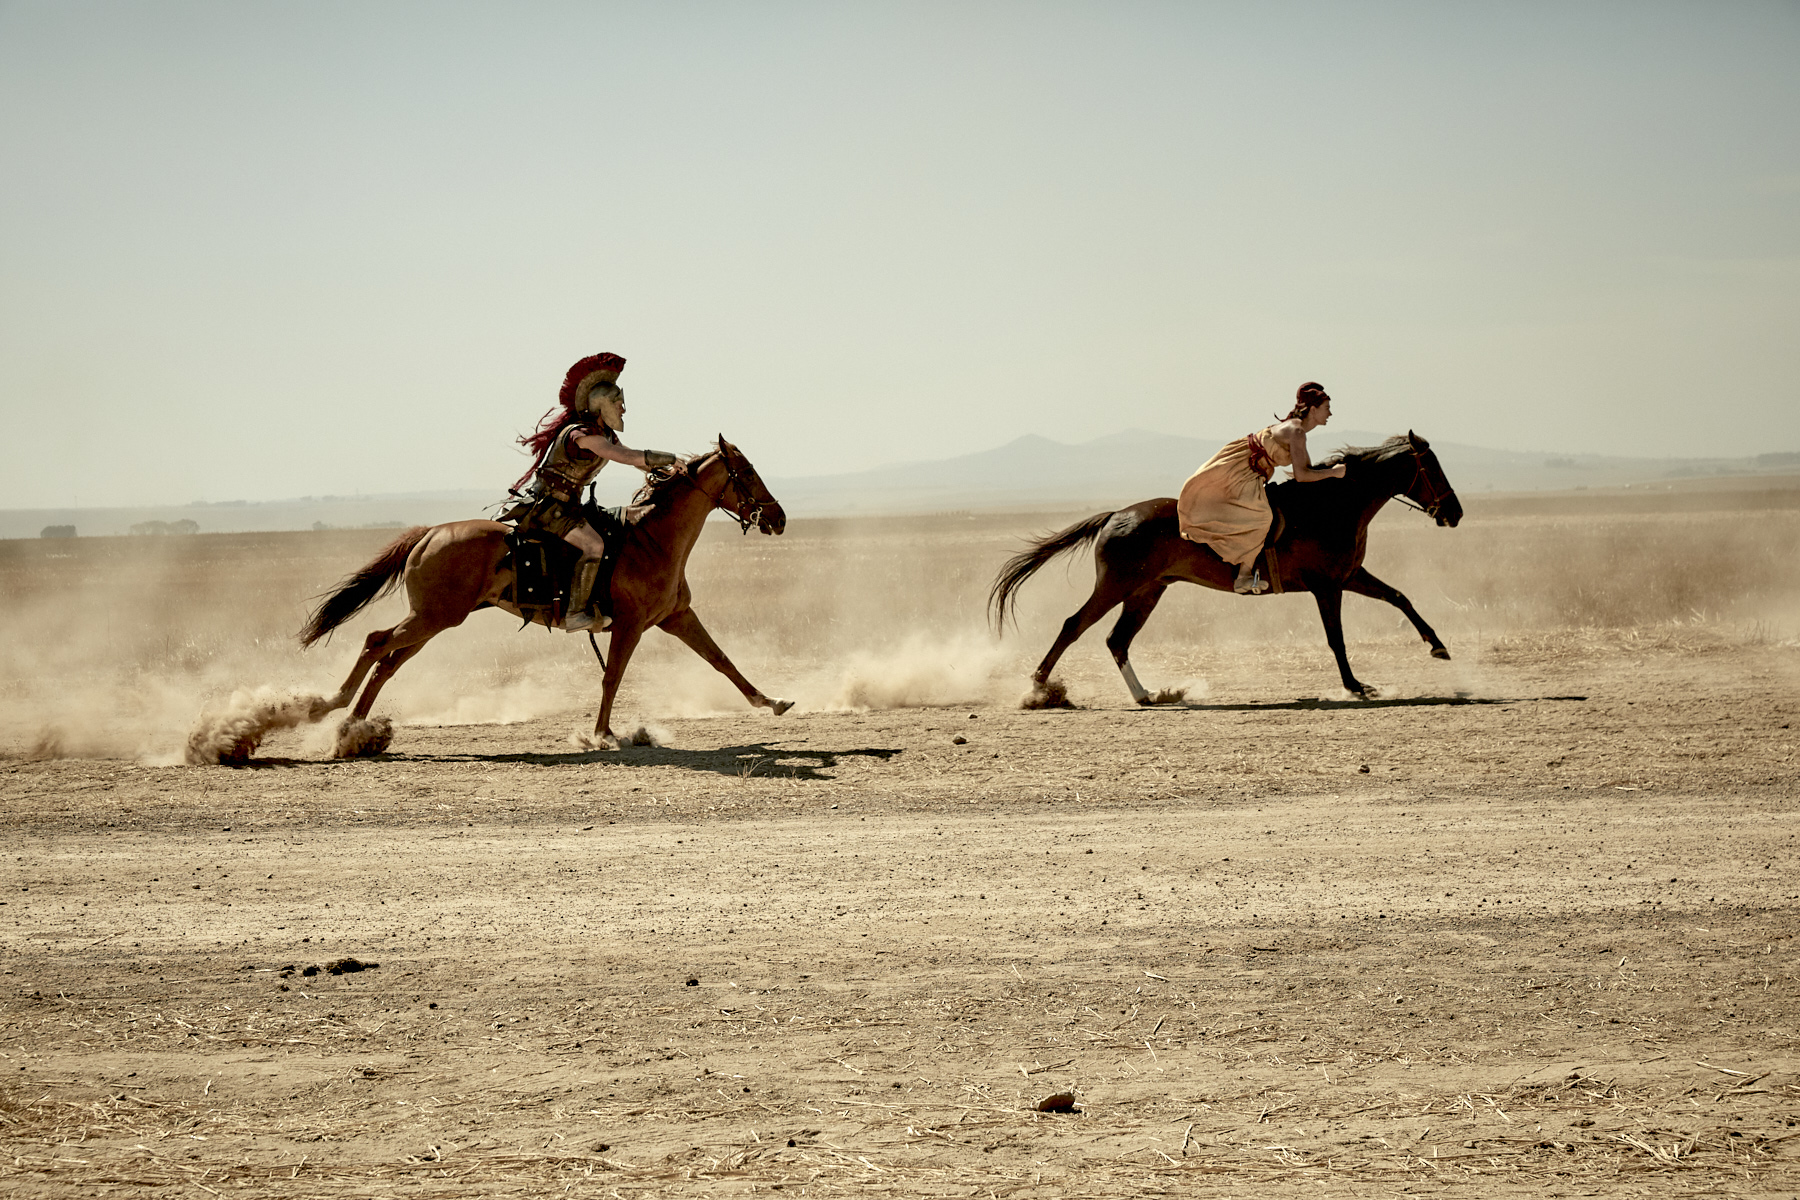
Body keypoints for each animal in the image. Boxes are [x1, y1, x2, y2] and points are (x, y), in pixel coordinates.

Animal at [298, 438, 792, 752]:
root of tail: (429, 533)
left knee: (388, 662)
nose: (780, 517)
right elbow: (612, 678)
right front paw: (601, 734)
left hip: (433, 621)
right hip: (433, 617)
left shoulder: (677, 618)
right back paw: (330, 711)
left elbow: (722, 660)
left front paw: (771, 702)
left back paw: (356, 729)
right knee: (376, 642)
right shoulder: (630, 625)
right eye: (748, 472)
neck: (650, 539)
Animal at [993, 433, 1468, 705]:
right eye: (1431, 466)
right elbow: (1337, 640)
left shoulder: (1349, 577)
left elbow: (1400, 597)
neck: (1334, 504)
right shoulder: (1326, 587)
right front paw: (1356, 686)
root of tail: (1115, 515)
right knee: (1074, 625)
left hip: (1147, 591)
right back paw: (1039, 691)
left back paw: (1148, 695)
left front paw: (1439, 647)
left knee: (1117, 639)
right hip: (1118, 585)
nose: (1455, 513)